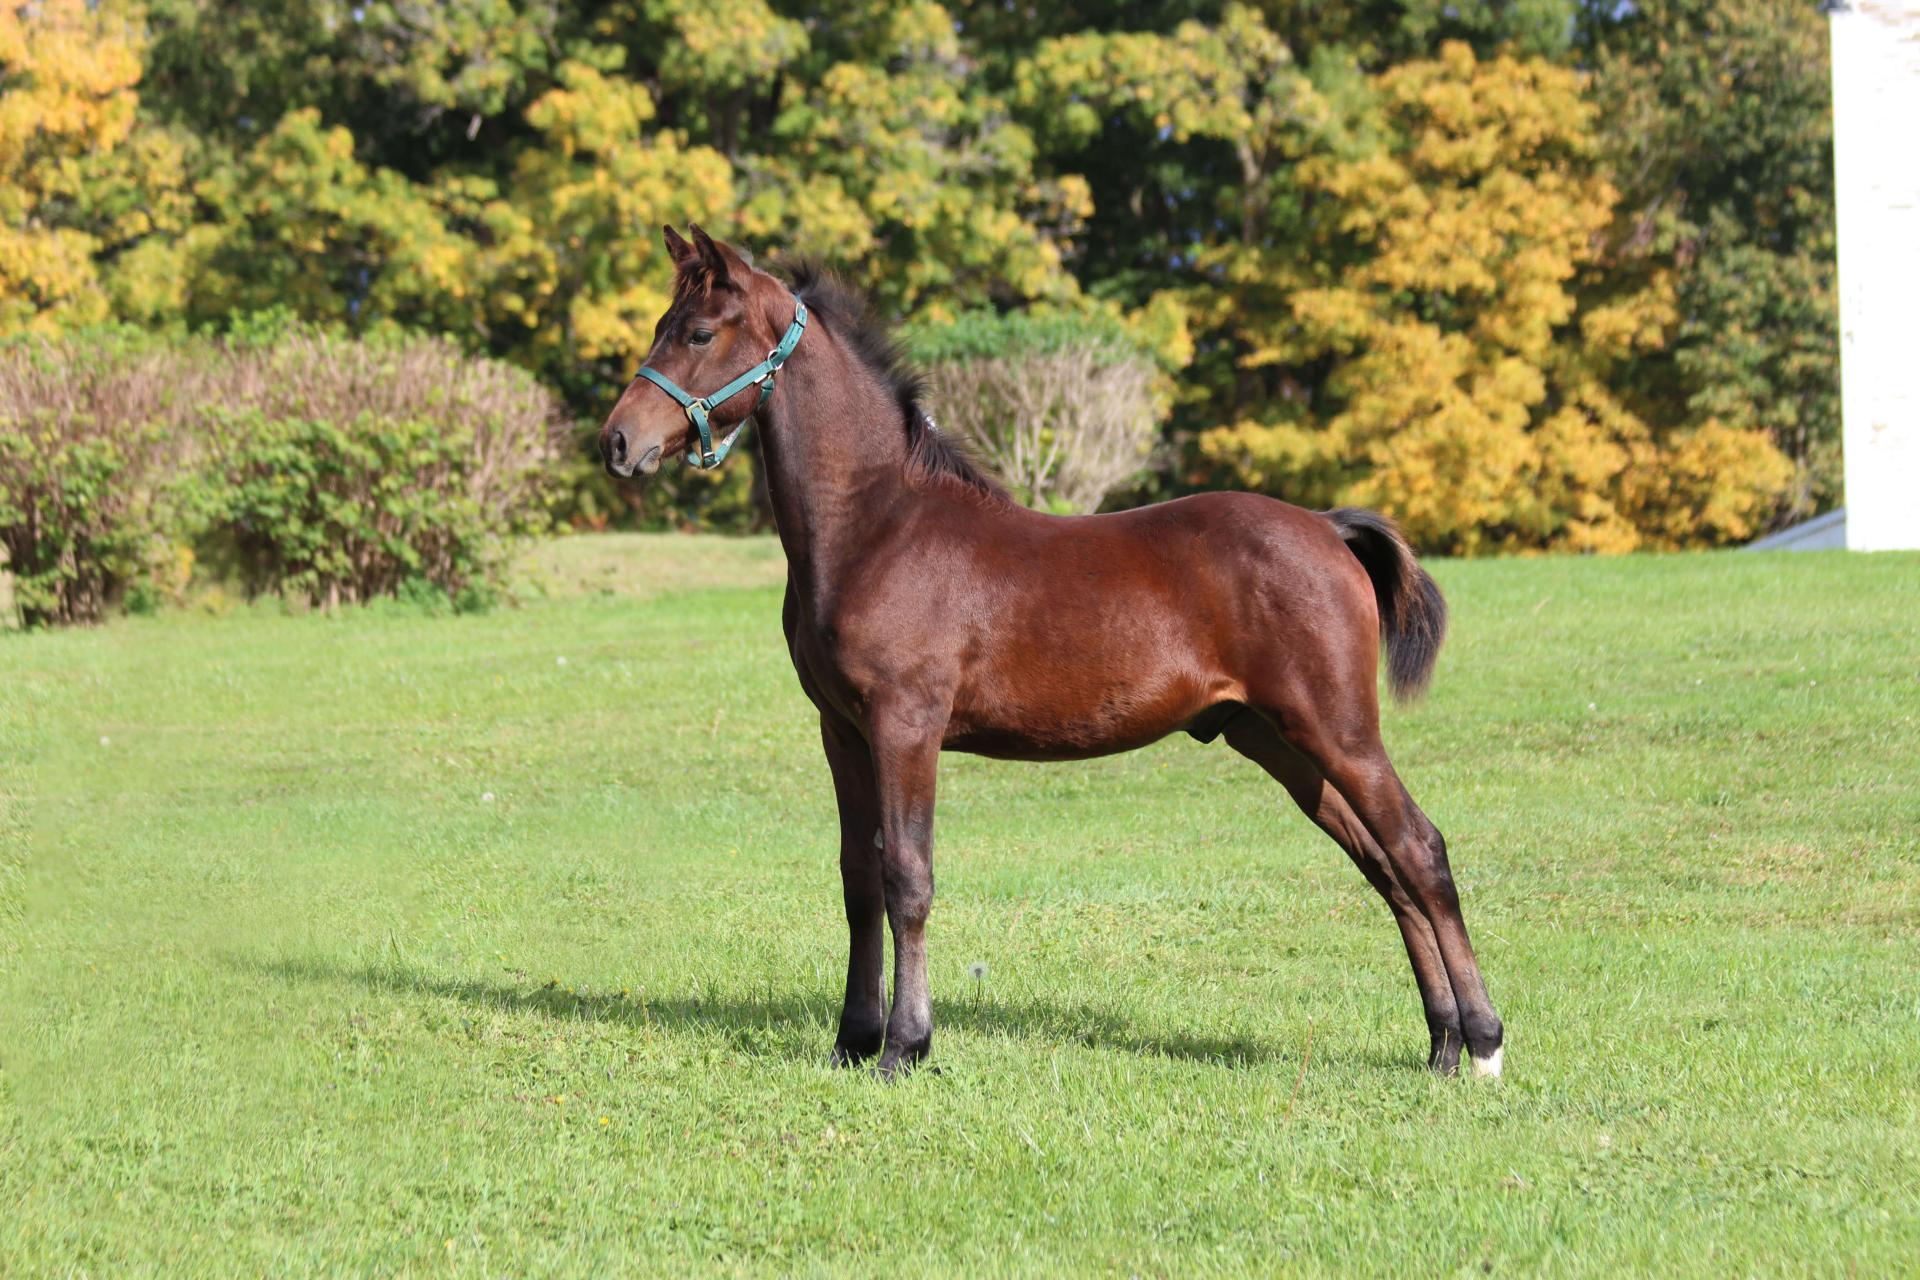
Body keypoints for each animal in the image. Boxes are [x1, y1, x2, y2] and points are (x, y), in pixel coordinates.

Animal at [599, 227, 1497, 1082]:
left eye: (699, 331)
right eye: (661, 324)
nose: (617, 442)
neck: (878, 525)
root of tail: (1326, 527)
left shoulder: (905, 726)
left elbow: (908, 878)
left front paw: (904, 1047)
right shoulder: (842, 731)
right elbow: (859, 880)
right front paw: (851, 1041)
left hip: (1338, 732)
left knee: (1420, 850)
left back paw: (1483, 1043)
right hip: (1277, 741)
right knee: (1384, 866)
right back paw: (1442, 1046)